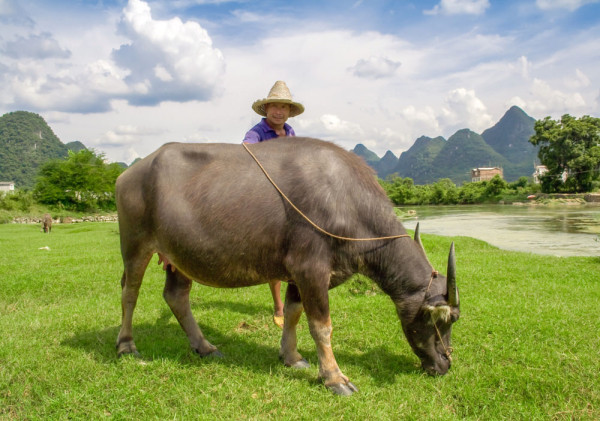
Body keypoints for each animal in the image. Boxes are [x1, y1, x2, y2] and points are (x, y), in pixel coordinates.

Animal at [116, 137, 460, 394]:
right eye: (445, 321)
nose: (444, 365)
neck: (346, 202)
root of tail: (130, 173)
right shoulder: (310, 269)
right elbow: (322, 325)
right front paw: (334, 377)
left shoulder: (300, 276)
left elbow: (294, 313)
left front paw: (291, 356)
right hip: (134, 245)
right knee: (129, 293)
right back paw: (126, 345)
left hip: (179, 258)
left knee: (176, 296)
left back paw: (204, 347)